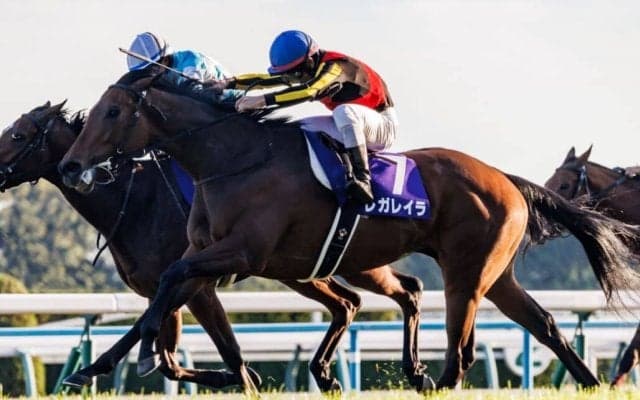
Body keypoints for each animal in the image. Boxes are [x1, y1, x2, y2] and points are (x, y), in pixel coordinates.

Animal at [0, 101, 429, 392]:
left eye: (17, 135)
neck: (133, 198)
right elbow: (166, 356)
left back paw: (413, 370)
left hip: (355, 260)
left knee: (406, 290)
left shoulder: (198, 284)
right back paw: (330, 374)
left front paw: (244, 377)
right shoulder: (168, 287)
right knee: (348, 303)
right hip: (302, 268)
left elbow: (221, 350)